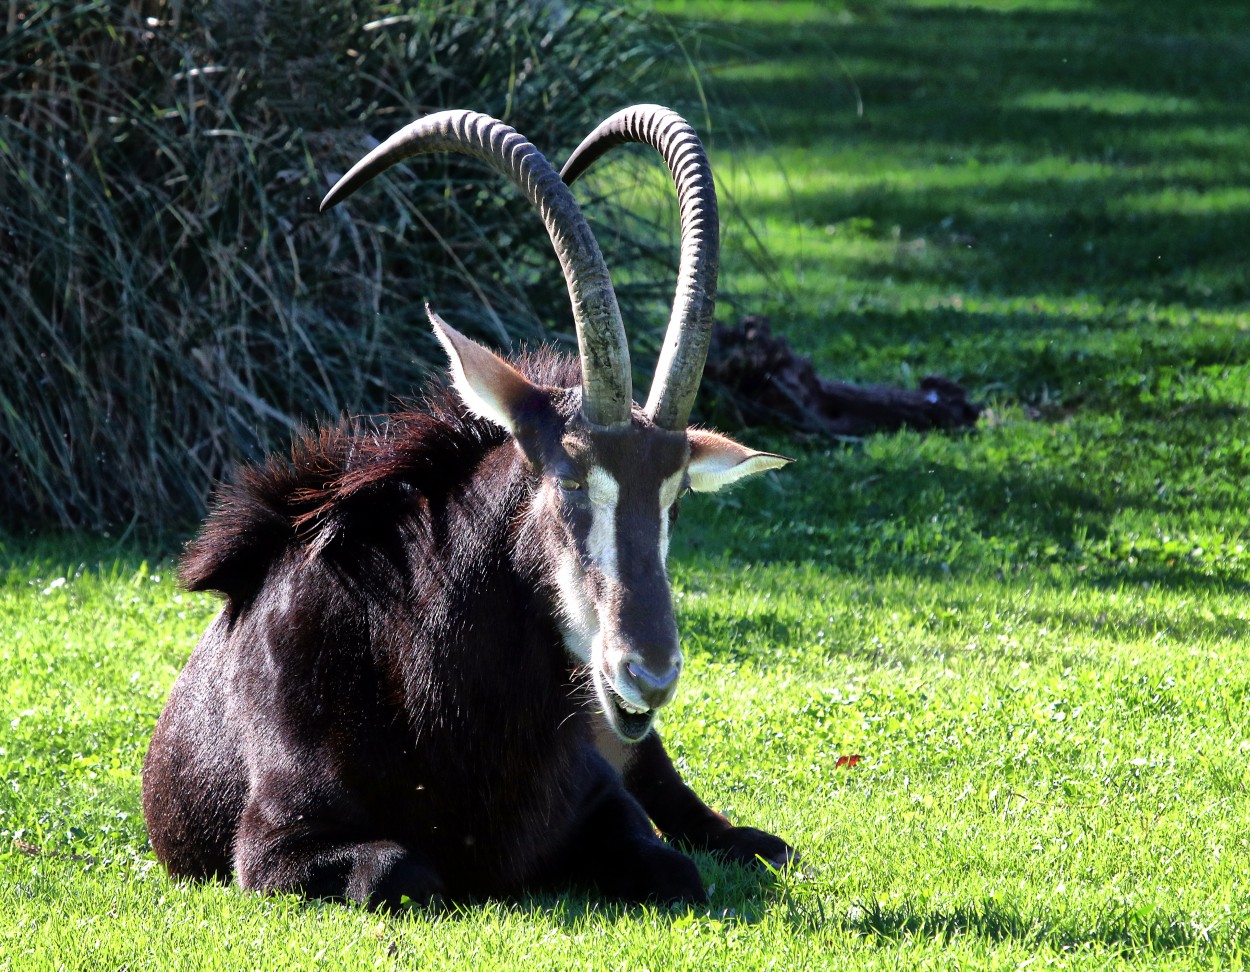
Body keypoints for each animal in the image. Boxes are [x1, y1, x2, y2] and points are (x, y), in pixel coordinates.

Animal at [141, 102, 795, 904]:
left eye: (674, 500)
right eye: (569, 478)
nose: (649, 674)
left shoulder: (606, 799)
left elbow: (674, 868)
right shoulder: (273, 848)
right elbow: (402, 870)